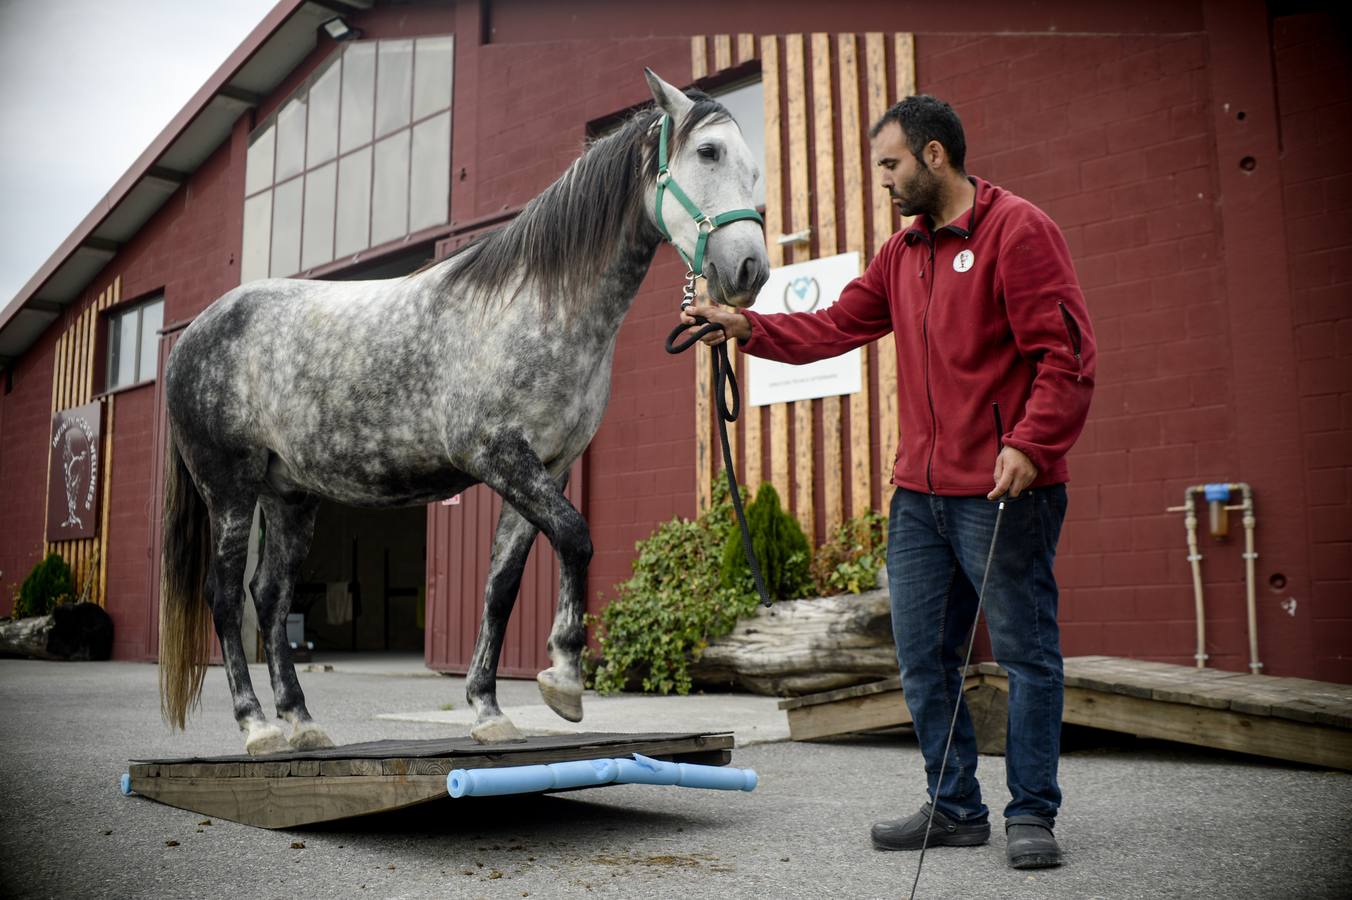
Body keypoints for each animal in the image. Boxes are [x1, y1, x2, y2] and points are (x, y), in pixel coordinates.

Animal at [155, 73, 773, 751]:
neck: (538, 304)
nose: (750, 270)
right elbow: (576, 538)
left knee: (268, 597)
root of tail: (192, 335)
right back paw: (258, 726)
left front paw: (489, 709)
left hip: (289, 495)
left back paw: (302, 721)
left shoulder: (548, 468)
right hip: (230, 489)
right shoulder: (499, 455)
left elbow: (501, 585)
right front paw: (563, 678)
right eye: (708, 153)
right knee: (224, 596)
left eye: (755, 167)